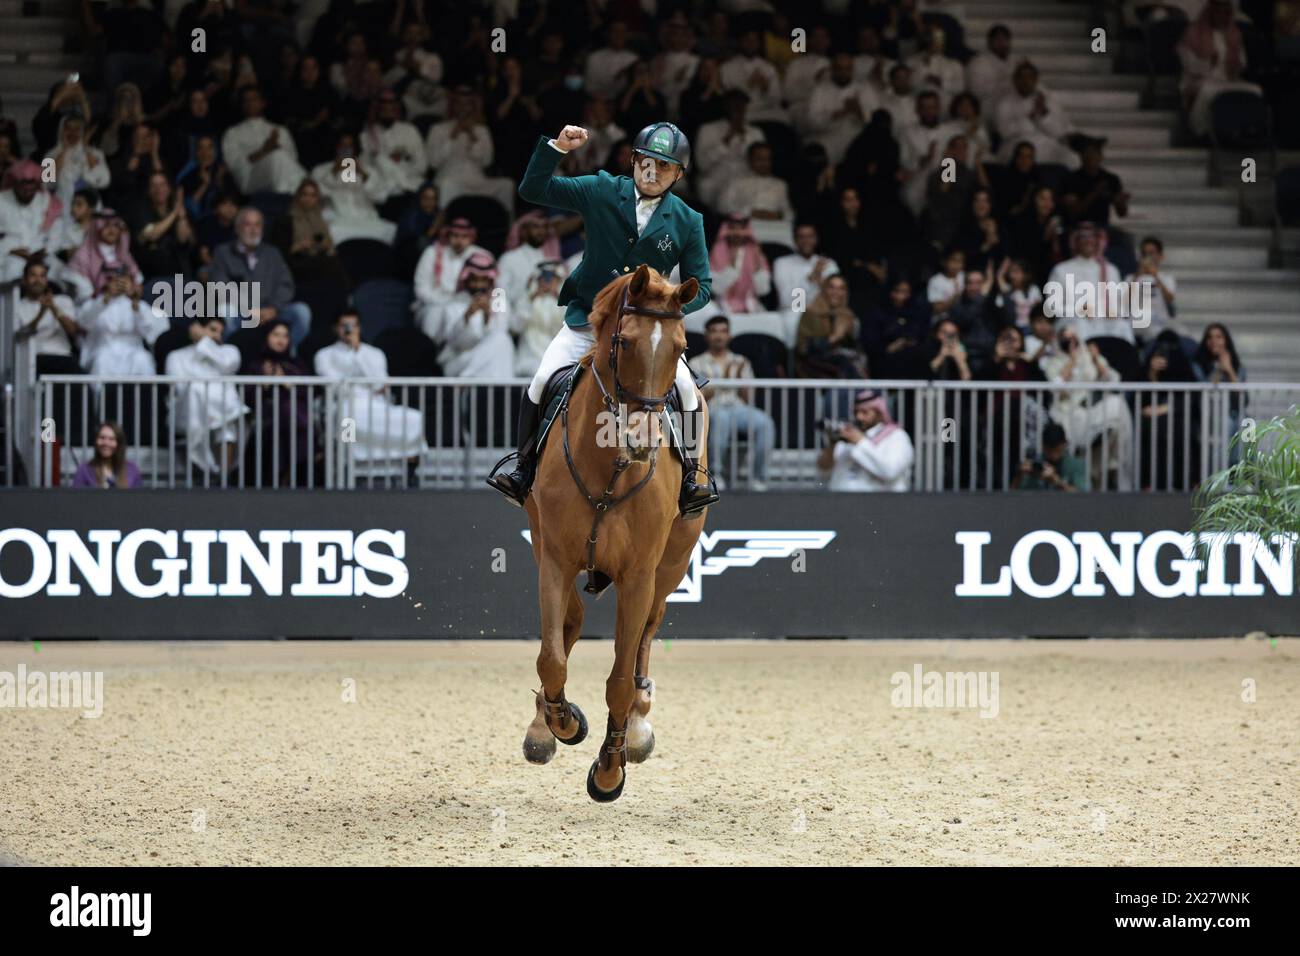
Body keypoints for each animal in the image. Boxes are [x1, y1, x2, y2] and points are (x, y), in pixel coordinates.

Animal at [522, 261, 712, 801]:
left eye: (679, 345)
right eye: (624, 342)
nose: (641, 441)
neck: (610, 466)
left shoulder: (639, 575)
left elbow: (621, 680)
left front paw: (610, 769)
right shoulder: (554, 558)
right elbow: (553, 656)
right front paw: (561, 723)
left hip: (673, 564)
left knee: (649, 630)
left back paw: (640, 725)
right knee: (570, 623)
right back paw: (543, 725)